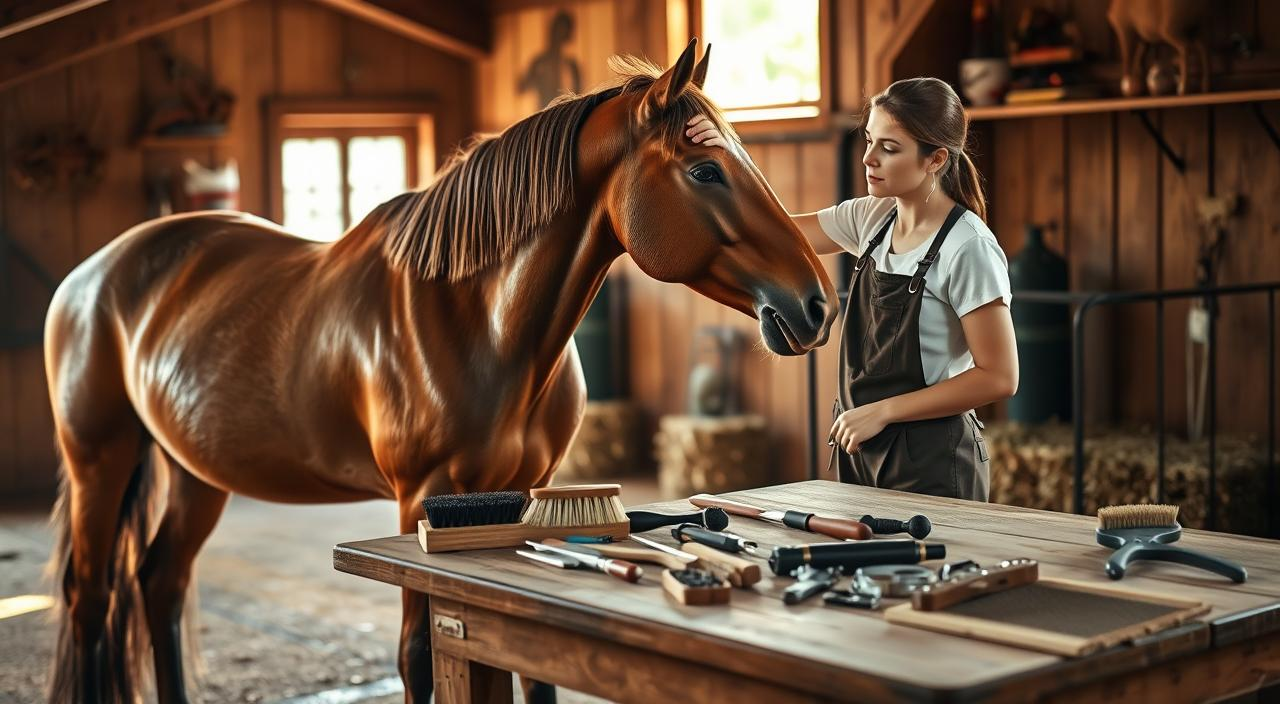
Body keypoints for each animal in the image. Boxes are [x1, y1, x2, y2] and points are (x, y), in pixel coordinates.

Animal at [43, 39, 836, 703]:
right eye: (705, 170)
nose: (816, 304)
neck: (477, 320)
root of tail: (92, 276)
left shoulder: (532, 487)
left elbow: (531, 672)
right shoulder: (423, 497)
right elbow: (417, 656)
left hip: (196, 471)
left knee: (159, 583)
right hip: (99, 463)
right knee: (90, 600)